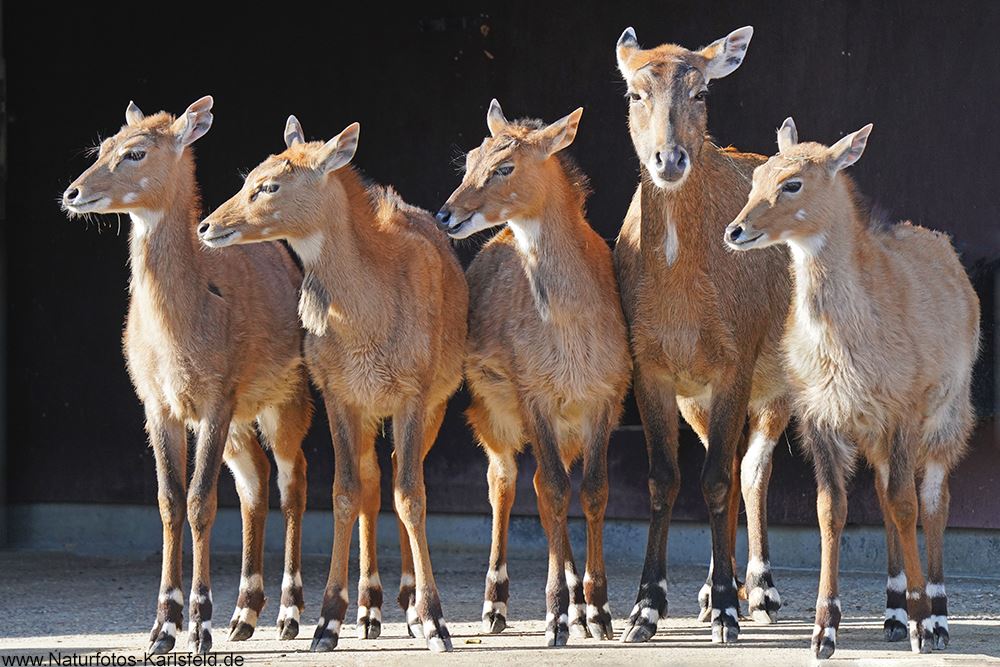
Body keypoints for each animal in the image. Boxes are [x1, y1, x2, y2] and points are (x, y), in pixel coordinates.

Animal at [60, 97, 312, 655]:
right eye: (103, 145)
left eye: (135, 152)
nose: (73, 193)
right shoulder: (159, 404)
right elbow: (170, 501)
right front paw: (162, 628)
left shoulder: (217, 398)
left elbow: (201, 501)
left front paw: (198, 626)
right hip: (241, 418)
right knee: (255, 479)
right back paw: (244, 615)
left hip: (285, 399)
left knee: (293, 479)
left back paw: (287, 614)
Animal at [197, 116, 468, 653]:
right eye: (248, 177)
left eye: (269, 185)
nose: (208, 225)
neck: (367, 315)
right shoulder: (340, 395)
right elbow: (345, 493)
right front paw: (327, 620)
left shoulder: (413, 395)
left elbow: (413, 498)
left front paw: (435, 621)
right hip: (365, 411)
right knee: (371, 481)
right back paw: (369, 608)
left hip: (432, 404)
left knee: (399, 476)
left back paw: (407, 605)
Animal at [435, 101, 632, 646]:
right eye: (470, 158)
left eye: (506, 166)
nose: (446, 215)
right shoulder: (533, 392)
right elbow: (552, 491)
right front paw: (555, 615)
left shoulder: (605, 395)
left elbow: (594, 490)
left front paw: (600, 610)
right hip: (493, 410)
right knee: (505, 481)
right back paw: (496, 604)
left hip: (565, 424)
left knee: (551, 482)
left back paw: (579, 607)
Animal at [613, 26, 793, 644]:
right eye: (635, 92)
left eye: (700, 92)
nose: (670, 158)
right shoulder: (651, 364)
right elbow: (663, 479)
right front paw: (645, 608)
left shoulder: (736, 357)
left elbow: (715, 479)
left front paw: (727, 614)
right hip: (699, 398)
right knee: (736, 467)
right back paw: (715, 588)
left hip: (779, 382)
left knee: (752, 469)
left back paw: (758, 589)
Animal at [725, 118, 979, 658]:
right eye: (757, 177)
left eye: (792, 183)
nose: (735, 230)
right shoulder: (822, 416)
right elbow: (831, 509)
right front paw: (825, 629)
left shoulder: (903, 410)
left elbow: (908, 506)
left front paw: (922, 624)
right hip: (875, 433)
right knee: (883, 493)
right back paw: (893, 610)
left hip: (948, 414)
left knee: (932, 499)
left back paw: (936, 612)